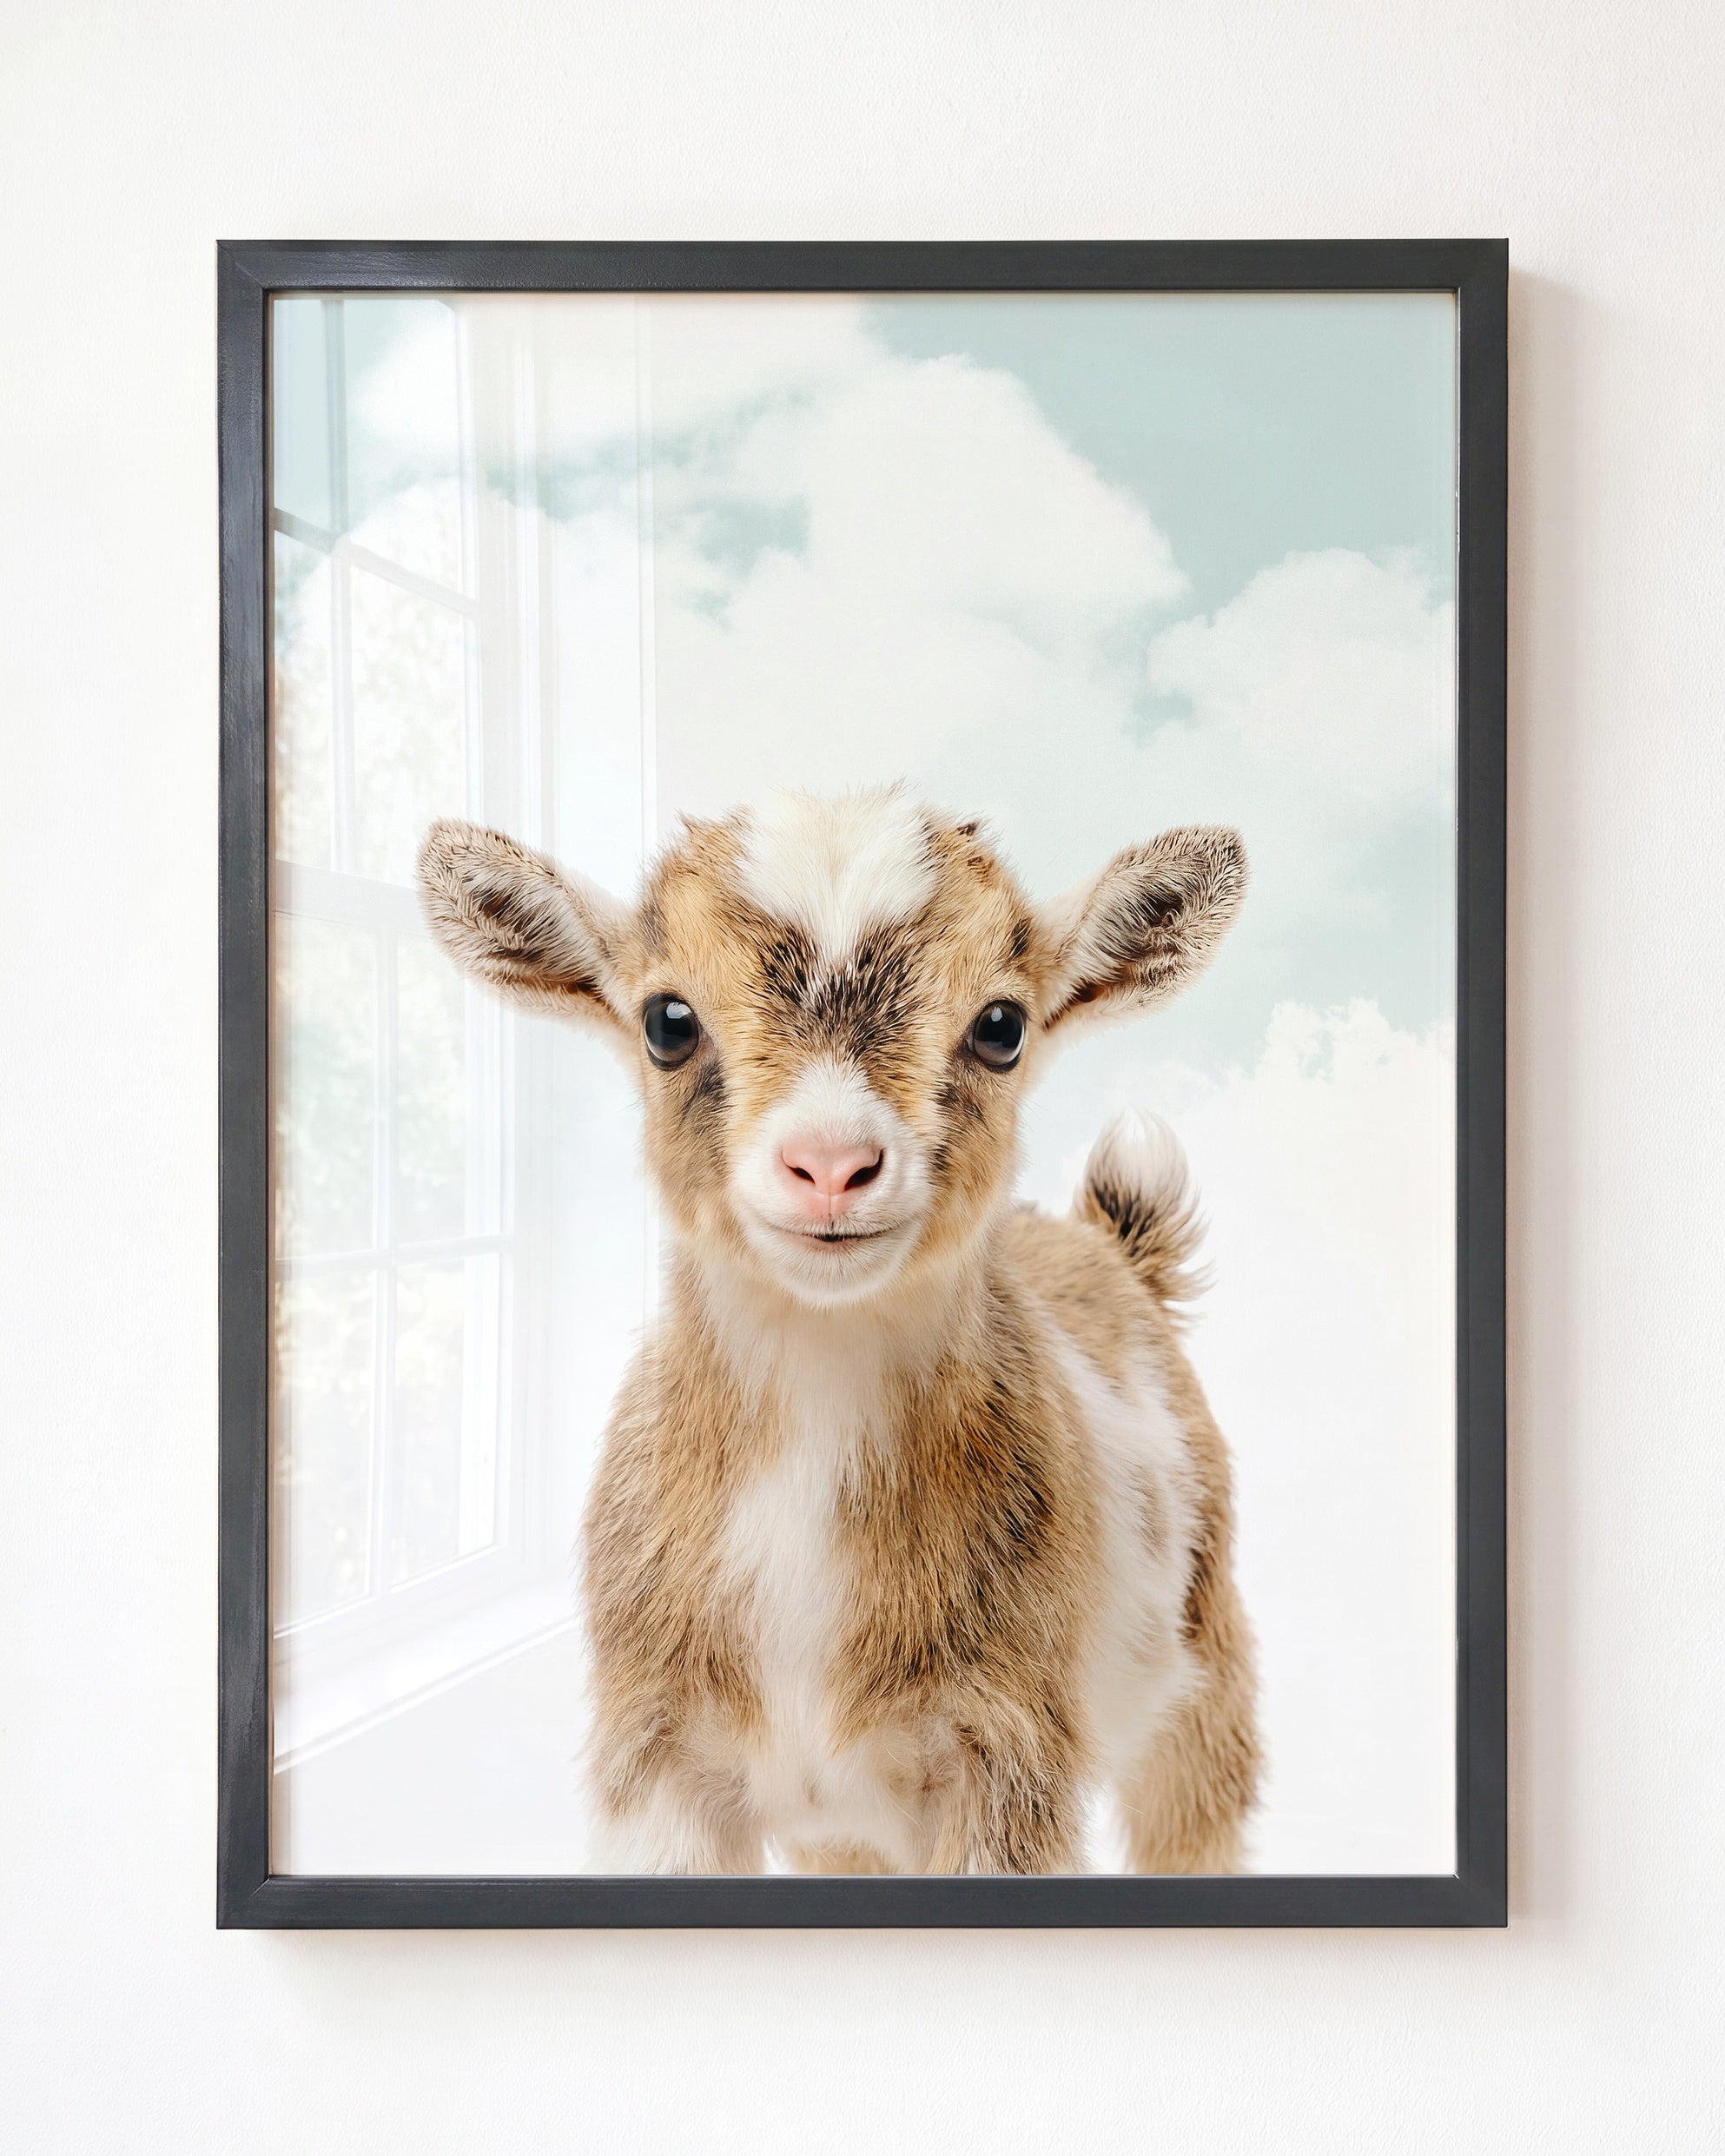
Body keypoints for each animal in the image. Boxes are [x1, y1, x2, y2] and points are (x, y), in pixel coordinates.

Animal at [418, 787, 1259, 1874]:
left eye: (1001, 1025)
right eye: (666, 1020)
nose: (829, 1165)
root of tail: (1112, 1248)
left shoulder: (1008, 1757)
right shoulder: (657, 1760)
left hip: (1206, 1671)